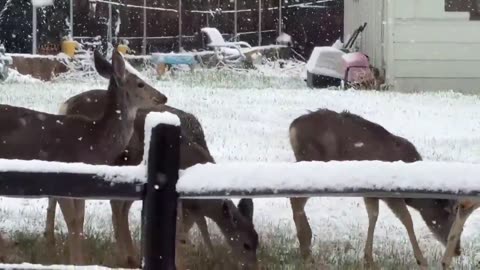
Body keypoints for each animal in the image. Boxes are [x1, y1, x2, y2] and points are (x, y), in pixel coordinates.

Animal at [0, 49, 168, 264]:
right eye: (140, 83)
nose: (163, 97)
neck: (92, 142)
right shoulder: (61, 180)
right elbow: (72, 220)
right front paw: (76, 262)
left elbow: (79, 220)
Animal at [45, 90, 260, 268]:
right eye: (246, 245)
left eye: (257, 241)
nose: (252, 266)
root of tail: (66, 105)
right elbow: (185, 231)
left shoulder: (191, 206)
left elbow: (195, 227)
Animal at [286, 108, 460, 268]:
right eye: (448, 216)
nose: (458, 251)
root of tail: (292, 127)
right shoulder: (391, 195)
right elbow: (407, 219)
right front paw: (421, 260)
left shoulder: (371, 194)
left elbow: (373, 216)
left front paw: (368, 259)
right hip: (313, 162)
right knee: (295, 199)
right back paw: (306, 248)